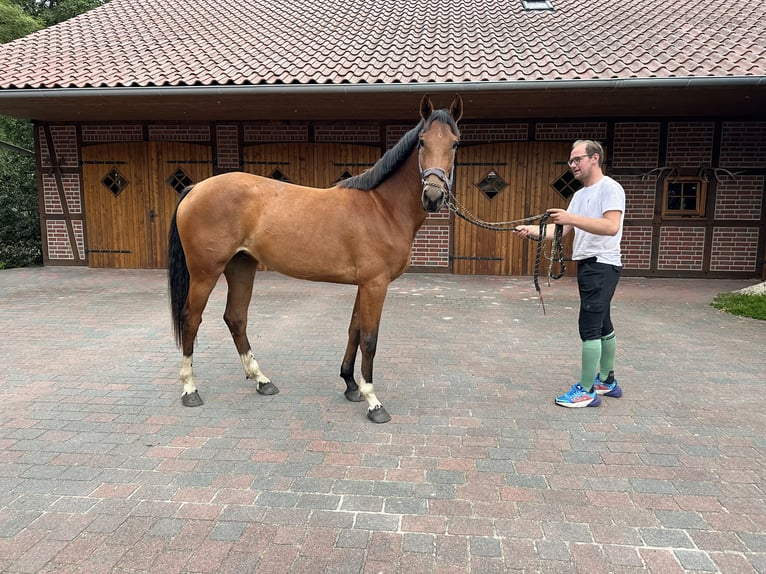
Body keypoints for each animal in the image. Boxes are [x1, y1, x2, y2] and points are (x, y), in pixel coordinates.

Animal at [167, 95, 462, 424]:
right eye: (422, 142)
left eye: (455, 144)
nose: (433, 196)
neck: (382, 207)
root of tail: (195, 188)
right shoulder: (375, 284)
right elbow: (369, 338)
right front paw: (373, 401)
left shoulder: (365, 284)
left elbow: (354, 330)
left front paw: (350, 385)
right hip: (205, 272)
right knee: (191, 319)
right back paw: (190, 390)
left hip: (241, 266)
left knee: (236, 317)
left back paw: (262, 380)